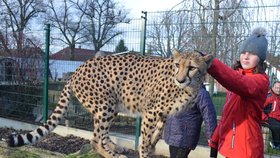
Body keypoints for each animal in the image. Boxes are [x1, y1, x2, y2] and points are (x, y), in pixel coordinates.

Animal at [7, 49, 213, 157]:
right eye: (177, 65)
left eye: (192, 67)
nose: (180, 79)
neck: (188, 87)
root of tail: (77, 69)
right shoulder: (151, 111)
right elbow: (145, 138)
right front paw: (145, 152)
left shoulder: (163, 113)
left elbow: (158, 133)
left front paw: (153, 146)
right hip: (105, 105)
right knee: (95, 139)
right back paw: (113, 154)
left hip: (110, 107)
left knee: (102, 135)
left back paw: (115, 147)